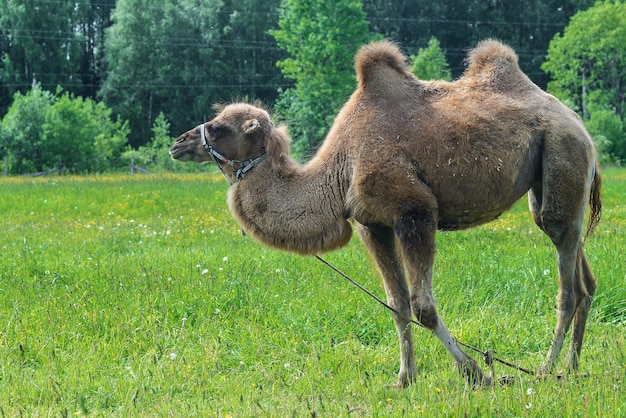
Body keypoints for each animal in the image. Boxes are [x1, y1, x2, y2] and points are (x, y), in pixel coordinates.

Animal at [169, 40, 600, 388]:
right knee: (582, 273)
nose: (178, 142)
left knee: (568, 285)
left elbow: (423, 306)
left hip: (563, 153)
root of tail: (578, 122)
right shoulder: (371, 224)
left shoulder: (414, 212)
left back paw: (546, 368)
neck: (339, 167)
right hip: (550, 186)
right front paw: (404, 379)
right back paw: (573, 367)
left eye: (219, 127)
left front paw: (476, 373)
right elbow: (397, 305)